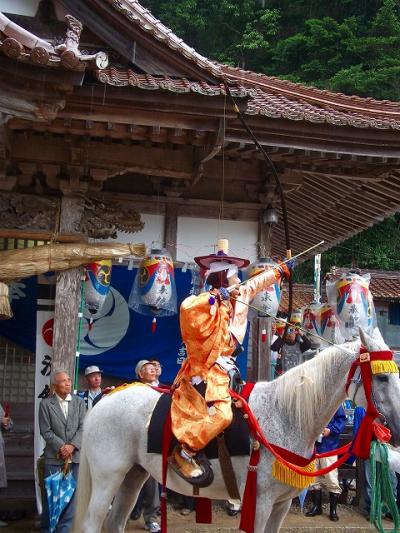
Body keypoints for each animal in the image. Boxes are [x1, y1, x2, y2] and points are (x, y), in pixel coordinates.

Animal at [72, 328, 400, 532]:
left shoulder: (281, 504)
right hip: (107, 476)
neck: (286, 416)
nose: (396, 428)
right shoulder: (260, 502)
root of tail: (105, 398)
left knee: (115, 522)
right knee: (92, 523)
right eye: (382, 379)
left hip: (133, 475)